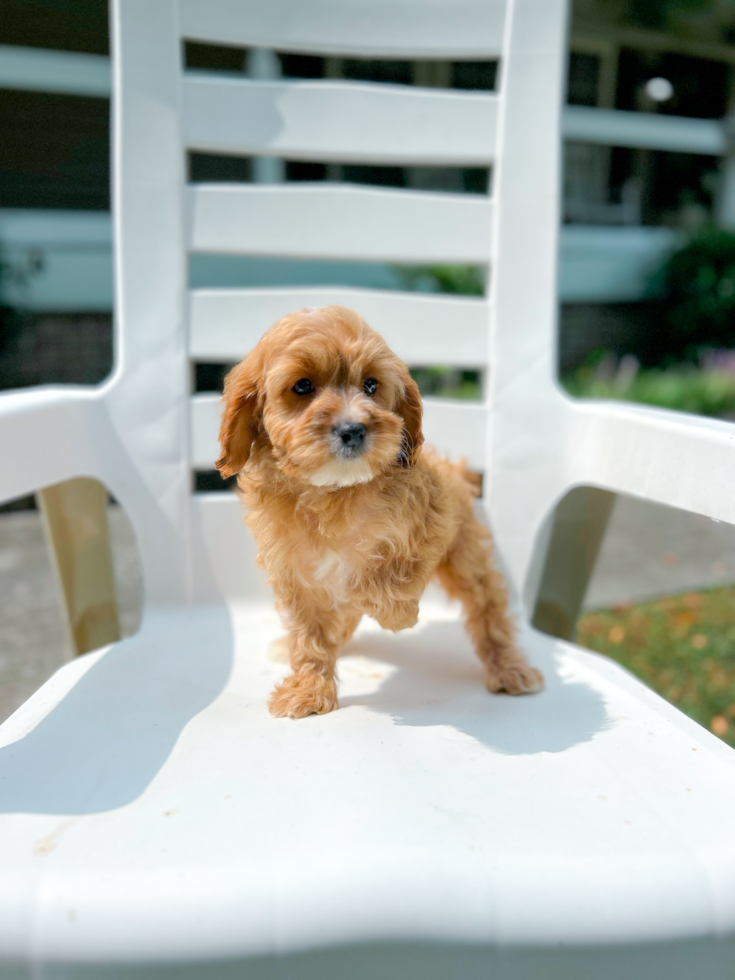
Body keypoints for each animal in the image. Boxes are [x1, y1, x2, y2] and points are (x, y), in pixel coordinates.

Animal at [216, 302, 544, 716]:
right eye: (302, 386)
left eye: (371, 385)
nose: (353, 429)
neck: (334, 490)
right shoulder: (295, 574)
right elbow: (310, 634)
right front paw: (308, 691)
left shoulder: (432, 528)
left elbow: (387, 578)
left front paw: (394, 613)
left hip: (467, 557)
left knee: (488, 611)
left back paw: (510, 669)